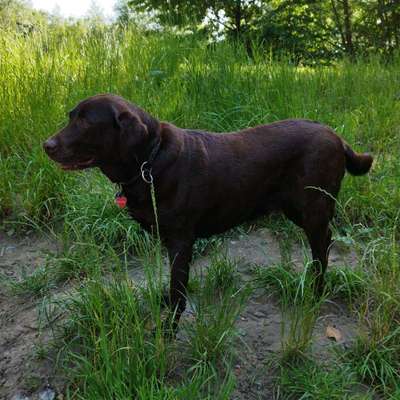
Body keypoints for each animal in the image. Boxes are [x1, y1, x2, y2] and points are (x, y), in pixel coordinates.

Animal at [43, 94, 372, 332]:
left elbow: (178, 289)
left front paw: (168, 330)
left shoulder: (180, 241)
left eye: (85, 122)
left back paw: (316, 290)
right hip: (295, 207)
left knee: (323, 246)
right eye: (71, 116)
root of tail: (337, 137)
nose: (46, 145)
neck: (150, 160)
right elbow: (172, 285)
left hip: (314, 208)